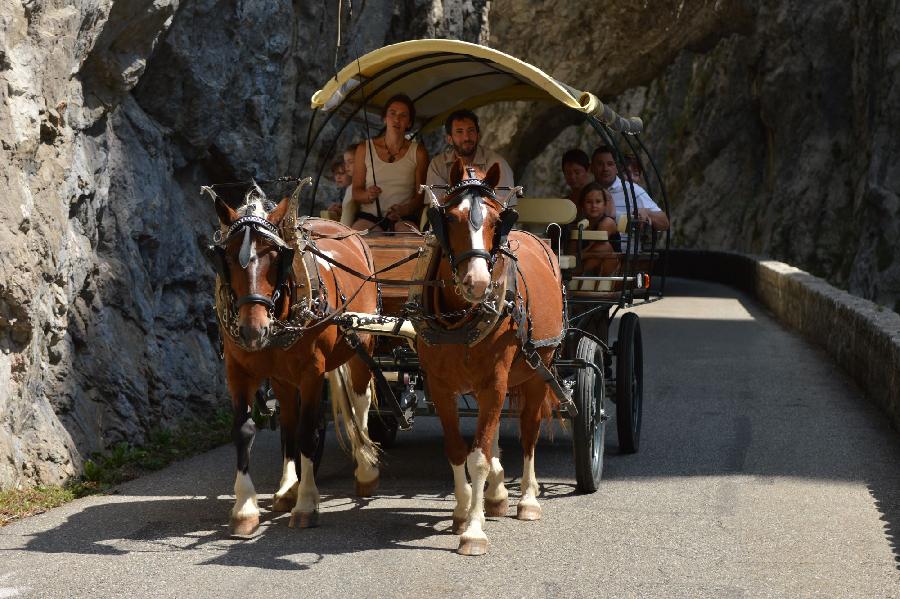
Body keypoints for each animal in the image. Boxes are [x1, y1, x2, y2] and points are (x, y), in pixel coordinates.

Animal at [209, 185, 378, 536]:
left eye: (277, 258)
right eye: (226, 257)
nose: (252, 329)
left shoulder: (312, 372)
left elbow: (308, 431)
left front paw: (307, 503)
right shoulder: (238, 371)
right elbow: (246, 430)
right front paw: (245, 508)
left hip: (362, 342)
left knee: (360, 401)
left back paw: (366, 469)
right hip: (281, 375)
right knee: (287, 421)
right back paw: (287, 488)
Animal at [414, 161, 564, 556]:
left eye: (498, 220)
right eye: (450, 218)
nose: (478, 282)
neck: (461, 319)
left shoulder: (495, 380)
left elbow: (478, 456)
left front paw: (473, 531)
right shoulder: (439, 385)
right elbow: (457, 449)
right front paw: (463, 510)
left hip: (538, 369)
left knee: (529, 433)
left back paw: (527, 499)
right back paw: (496, 495)